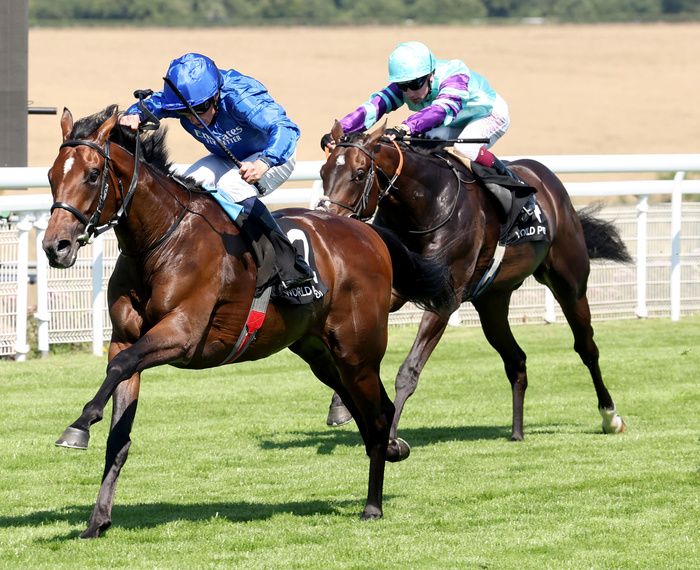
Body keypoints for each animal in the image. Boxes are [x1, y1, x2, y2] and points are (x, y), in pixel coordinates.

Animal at [42, 105, 448, 532]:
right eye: (52, 175)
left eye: (92, 174)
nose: (56, 246)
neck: (162, 239)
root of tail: (367, 233)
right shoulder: (125, 337)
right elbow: (118, 426)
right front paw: (97, 520)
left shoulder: (182, 333)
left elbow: (120, 366)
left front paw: (78, 426)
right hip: (319, 352)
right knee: (365, 409)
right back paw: (392, 450)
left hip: (358, 350)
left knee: (379, 414)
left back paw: (373, 504)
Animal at [320, 122, 632, 450]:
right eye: (323, 172)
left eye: (358, 173)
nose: (329, 220)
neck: (424, 205)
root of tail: (548, 180)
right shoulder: (398, 287)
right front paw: (340, 406)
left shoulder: (444, 300)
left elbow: (409, 370)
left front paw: (390, 435)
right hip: (492, 301)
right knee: (516, 360)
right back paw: (517, 431)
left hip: (569, 284)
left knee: (587, 348)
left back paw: (611, 417)